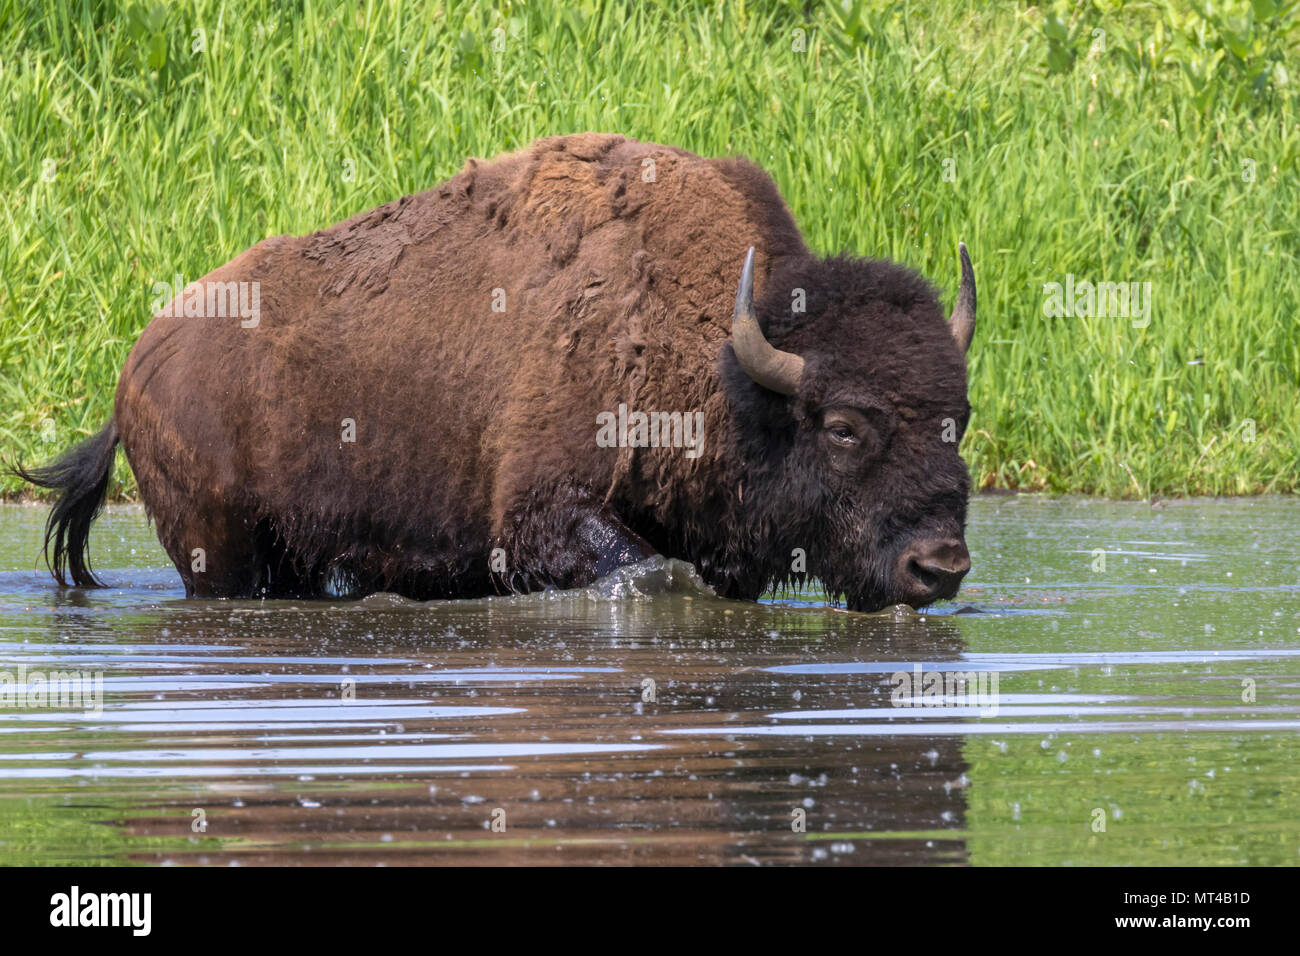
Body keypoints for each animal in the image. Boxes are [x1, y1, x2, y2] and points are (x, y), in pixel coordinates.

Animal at [17, 132, 977, 613]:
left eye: (957, 419)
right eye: (844, 425)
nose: (941, 566)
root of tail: (136, 367)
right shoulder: (541, 513)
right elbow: (638, 567)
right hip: (215, 553)